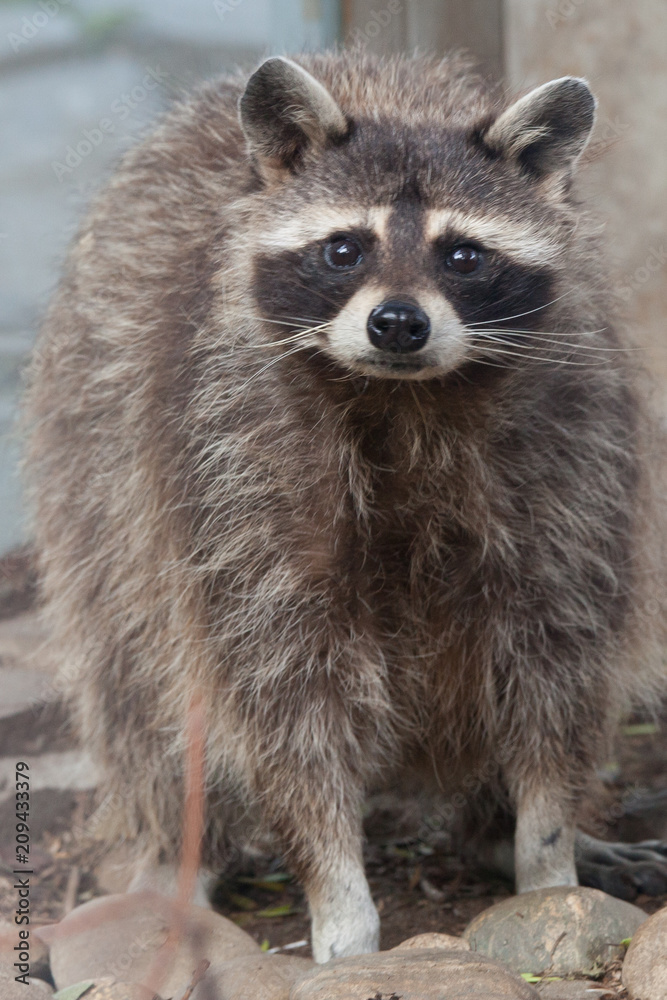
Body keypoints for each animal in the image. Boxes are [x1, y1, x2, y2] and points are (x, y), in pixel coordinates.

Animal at [22, 48, 667, 960]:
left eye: (462, 256)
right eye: (343, 249)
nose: (396, 323)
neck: (405, 400)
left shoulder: (574, 463)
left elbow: (556, 672)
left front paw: (547, 862)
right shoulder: (232, 473)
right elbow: (282, 703)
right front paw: (340, 903)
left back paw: (493, 832)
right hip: (93, 465)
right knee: (136, 675)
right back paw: (178, 851)